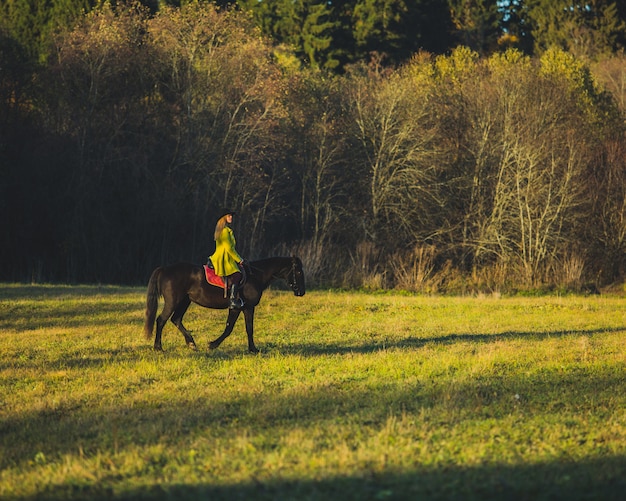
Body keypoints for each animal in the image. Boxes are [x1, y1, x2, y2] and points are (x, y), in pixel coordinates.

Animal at [144, 258, 304, 352]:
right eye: (298, 271)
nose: (301, 292)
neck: (255, 276)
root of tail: (165, 269)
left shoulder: (248, 308)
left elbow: (249, 328)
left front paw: (253, 349)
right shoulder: (237, 308)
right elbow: (229, 328)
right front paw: (212, 345)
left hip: (184, 301)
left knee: (176, 319)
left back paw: (191, 343)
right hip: (173, 301)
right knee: (161, 320)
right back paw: (158, 347)